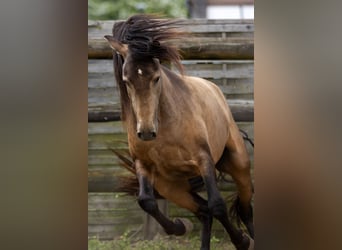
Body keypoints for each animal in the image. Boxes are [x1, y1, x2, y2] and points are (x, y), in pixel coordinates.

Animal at [104, 14, 254, 249]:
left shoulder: (203, 159)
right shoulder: (143, 164)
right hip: (172, 187)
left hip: (238, 164)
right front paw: (179, 226)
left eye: (156, 77)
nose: (146, 132)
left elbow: (218, 205)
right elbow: (146, 201)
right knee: (204, 211)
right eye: (127, 80)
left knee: (244, 209)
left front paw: (242, 241)